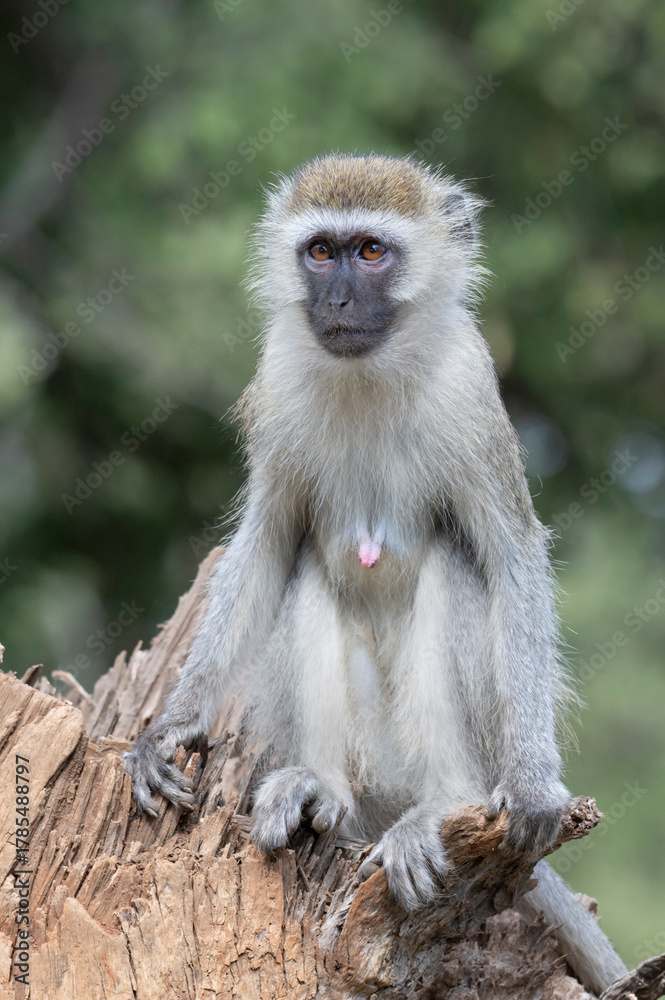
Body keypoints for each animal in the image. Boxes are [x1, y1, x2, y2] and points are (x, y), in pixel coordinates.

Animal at [124, 154, 628, 995]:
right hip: (370, 767)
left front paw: (532, 781)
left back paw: (440, 812)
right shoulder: (276, 383)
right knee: (305, 569)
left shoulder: (469, 392)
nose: (334, 300)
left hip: (439, 754)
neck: (371, 373)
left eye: (369, 252)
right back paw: (318, 785)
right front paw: (169, 730)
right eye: (320, 252)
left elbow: (511, 555)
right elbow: (267, 545)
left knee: (454, 566)